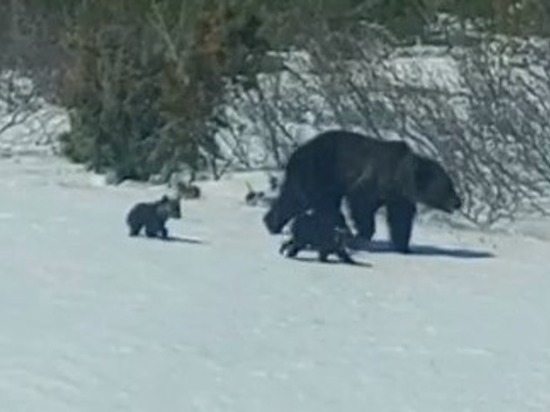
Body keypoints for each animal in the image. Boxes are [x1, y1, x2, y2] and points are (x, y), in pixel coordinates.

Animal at [266, 130, 464, 253]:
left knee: (297, 200)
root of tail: (295, 152)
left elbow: (400, 218)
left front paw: (403, 246)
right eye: (447, 187)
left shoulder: (398, 197)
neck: (401, 177)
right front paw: (363, 234)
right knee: (306, 200)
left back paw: (272, 222)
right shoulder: (374, 178)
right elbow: (360, 201)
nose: (458, 202)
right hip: (318, 171)